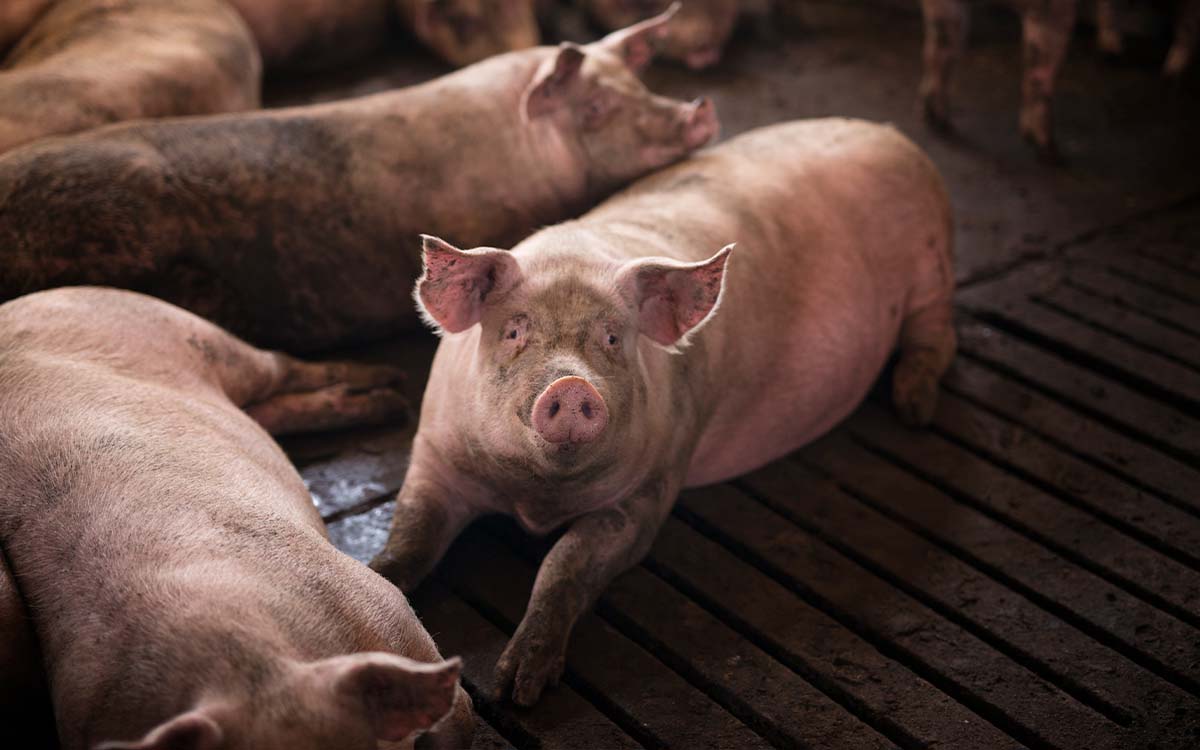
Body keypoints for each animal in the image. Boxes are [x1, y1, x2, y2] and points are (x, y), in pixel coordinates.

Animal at [0, 285, 475, 748]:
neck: (250, 667)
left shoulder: (388, 613)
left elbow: (459, 710)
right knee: (270, 409)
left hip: (197, 335)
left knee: (282, 366)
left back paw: (391, 390)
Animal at [372, 115, 955, 700]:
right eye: (514, 331)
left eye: (612, 338)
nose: (571, 386)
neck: (536, 500)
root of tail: (890, 134)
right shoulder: (433, 456)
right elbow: (411, 534)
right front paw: (378, 582)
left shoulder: (650, 489)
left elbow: (564, 564)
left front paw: (519, 689)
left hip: (932, 266)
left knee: (935, 338)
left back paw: (915, 410)